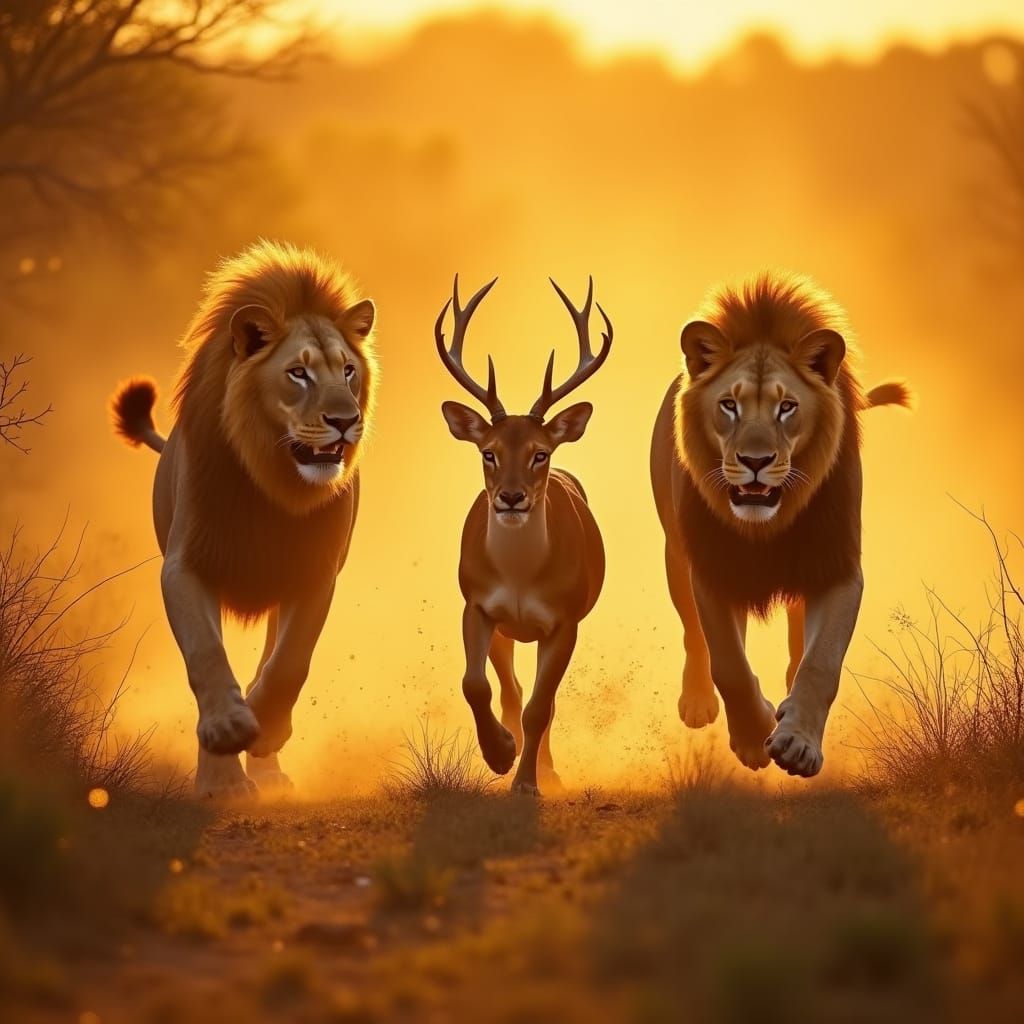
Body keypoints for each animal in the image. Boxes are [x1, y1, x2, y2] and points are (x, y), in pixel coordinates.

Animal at [110, 241, 377, 798]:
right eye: (298, 373)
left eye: (348, 370)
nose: (346, 421)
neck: (273, 485)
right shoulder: (186, 565)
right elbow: (206, 654)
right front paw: (227, 736)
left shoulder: (314, 574)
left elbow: (289, 661)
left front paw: (266, 729)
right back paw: (225, 779)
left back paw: (267, 770)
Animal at [435, 275, 612, 796]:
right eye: (488, 452)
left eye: (540, 452)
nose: (511, 498)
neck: (519, 580)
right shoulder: (476, 604)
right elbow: (477, 685)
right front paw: (499, 754)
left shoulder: (565, 621)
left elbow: (539, 708)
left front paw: (527, 782)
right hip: (506, 632)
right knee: (511, 690)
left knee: (542, 703)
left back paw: (546, 769)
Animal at [650, 271, 910, 777]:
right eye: (729, 406)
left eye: (786, 407)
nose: (755, 462)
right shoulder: (712, 570)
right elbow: (727, 662)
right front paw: (753, 738)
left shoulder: (837, 567)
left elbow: (821, 663)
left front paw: (797, 742)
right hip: (675, 555)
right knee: (695, 633)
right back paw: (699, 702)